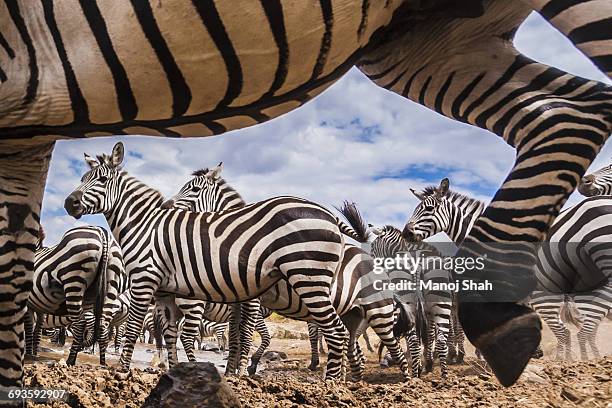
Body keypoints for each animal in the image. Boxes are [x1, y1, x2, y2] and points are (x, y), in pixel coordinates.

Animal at [26, 226, 126, 366]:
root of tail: (103, 233)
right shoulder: (39, 307)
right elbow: (36, 332)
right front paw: (34, 354)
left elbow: (29, 330)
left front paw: (28, 354)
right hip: (110, 285)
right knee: (101, 326)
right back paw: (102, 362)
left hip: (74, 281)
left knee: (80, 324)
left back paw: (71, 360)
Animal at [62, 143, 356, 380]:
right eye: (82, 178)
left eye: (101, 179)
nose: (68, 203)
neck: (145, 224)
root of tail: (328, 214)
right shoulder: (167, 291)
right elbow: (173, 333)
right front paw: (177, 372)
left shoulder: (145, 279)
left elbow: (133, 327)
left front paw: (123, 371)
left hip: (309, 278)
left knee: (336, 331)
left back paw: (332, 385)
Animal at [165, 162, 408, 380]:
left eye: (194, 190)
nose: (167, 206)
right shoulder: (236, 301)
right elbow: (234, 334)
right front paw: (229, 372)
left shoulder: (253, 300)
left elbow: (246, 333)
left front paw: (242, 371)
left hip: (378, 311)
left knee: (393, 347)